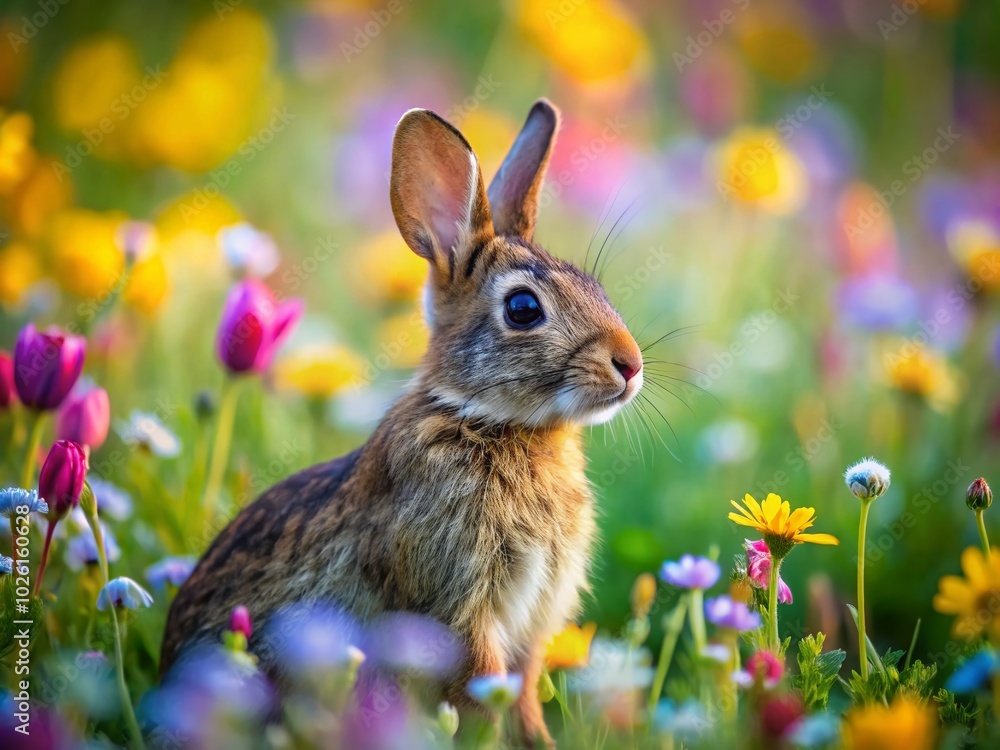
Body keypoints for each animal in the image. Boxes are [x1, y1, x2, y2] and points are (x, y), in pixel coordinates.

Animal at [160, 98, 644, 746]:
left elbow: (521, 700)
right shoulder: (457, 608)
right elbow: (485, 693)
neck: (486, 419)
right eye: (523, 309)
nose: (630, 364)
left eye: (595, 286)